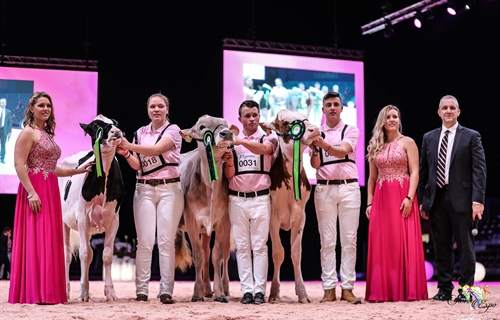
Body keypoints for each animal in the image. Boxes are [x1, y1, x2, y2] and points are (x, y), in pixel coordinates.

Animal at [58, 115, 125, 302]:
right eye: (96, 126)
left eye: (115, 123)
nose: (116, 131)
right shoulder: (82, 218)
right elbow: (85, 254)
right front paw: (83, 292)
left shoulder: (114, 220)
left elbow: (107, 255)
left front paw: (110, 292)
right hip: (64, 222)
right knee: (67, 254)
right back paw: (66, 291)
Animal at [178, 115, 238, 302]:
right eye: (202, 127)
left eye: (225, 124)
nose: (227, 133)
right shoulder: (191, 220)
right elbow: (198, 256)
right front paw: (196, 293)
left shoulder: (224, 220)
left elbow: (216, 255)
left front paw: (219, 293)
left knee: (219, 252)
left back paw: (218, 288)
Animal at [260, 109, 322, 304]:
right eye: (287, 123)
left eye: (305, 117)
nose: (315, 129)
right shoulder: (272, 218)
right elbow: (278, 253)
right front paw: (274, 292)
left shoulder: (301, 216)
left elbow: (295, 253)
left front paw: (302, 293)